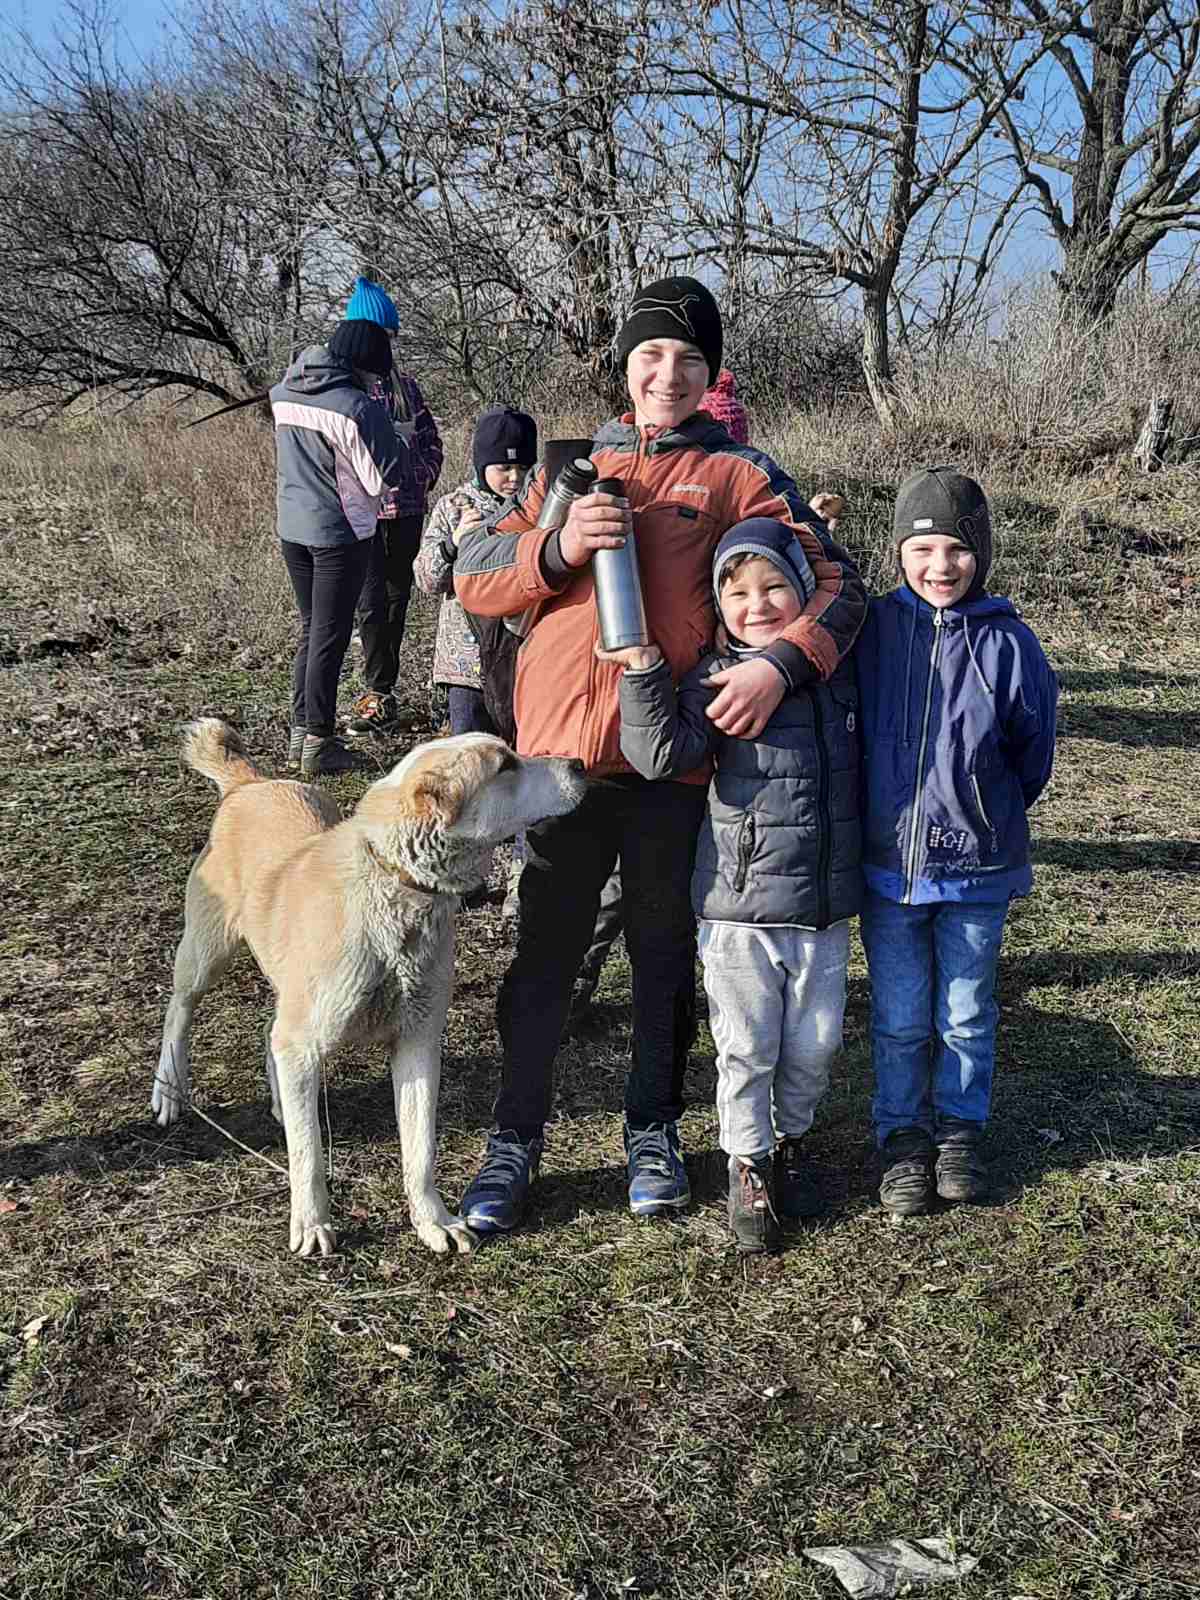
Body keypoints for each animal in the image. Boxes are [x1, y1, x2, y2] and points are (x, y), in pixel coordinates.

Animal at [152, 726, 585, 1260]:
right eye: (505, 765)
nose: (581, 765)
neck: (397, 890)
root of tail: (250, 784)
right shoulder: (304, 1041)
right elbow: (308, 1154)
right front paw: (312, 1223)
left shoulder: (417, 1044)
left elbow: (420, 1149)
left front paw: (432, 1220)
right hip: (205, 955)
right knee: (179, 1011)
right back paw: (169, 1090)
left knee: (268, 1031)